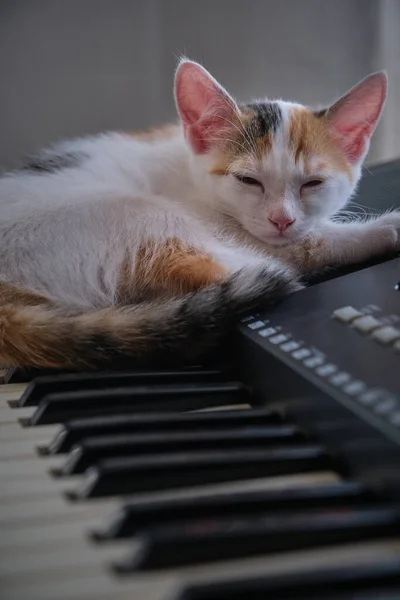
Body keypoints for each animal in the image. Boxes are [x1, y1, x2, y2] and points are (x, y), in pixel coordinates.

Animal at [0, 62, 398, 370]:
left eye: (313, 183)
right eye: (248, 180)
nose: (282, 220)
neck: (189, 170)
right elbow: (309, 244)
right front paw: (385, 228)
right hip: (137, 219)